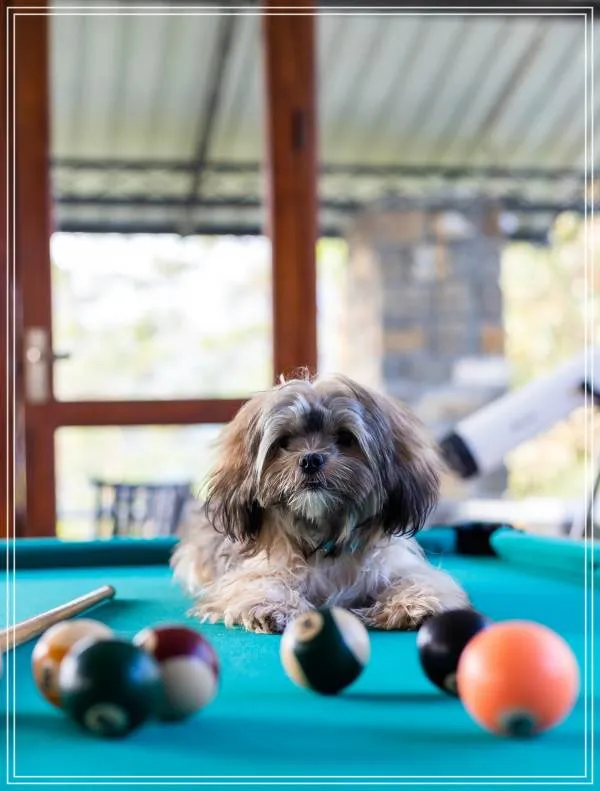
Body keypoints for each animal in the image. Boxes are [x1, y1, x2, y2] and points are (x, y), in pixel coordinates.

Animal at [172, 373, 469, 634]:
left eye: (345, 438)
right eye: (284, 441)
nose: (311, 459)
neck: (322, 538)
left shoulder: (391, 565)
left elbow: (420, 579)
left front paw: (415, 602)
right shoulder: (253, 572)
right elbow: (258, 584)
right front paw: (273, 606)